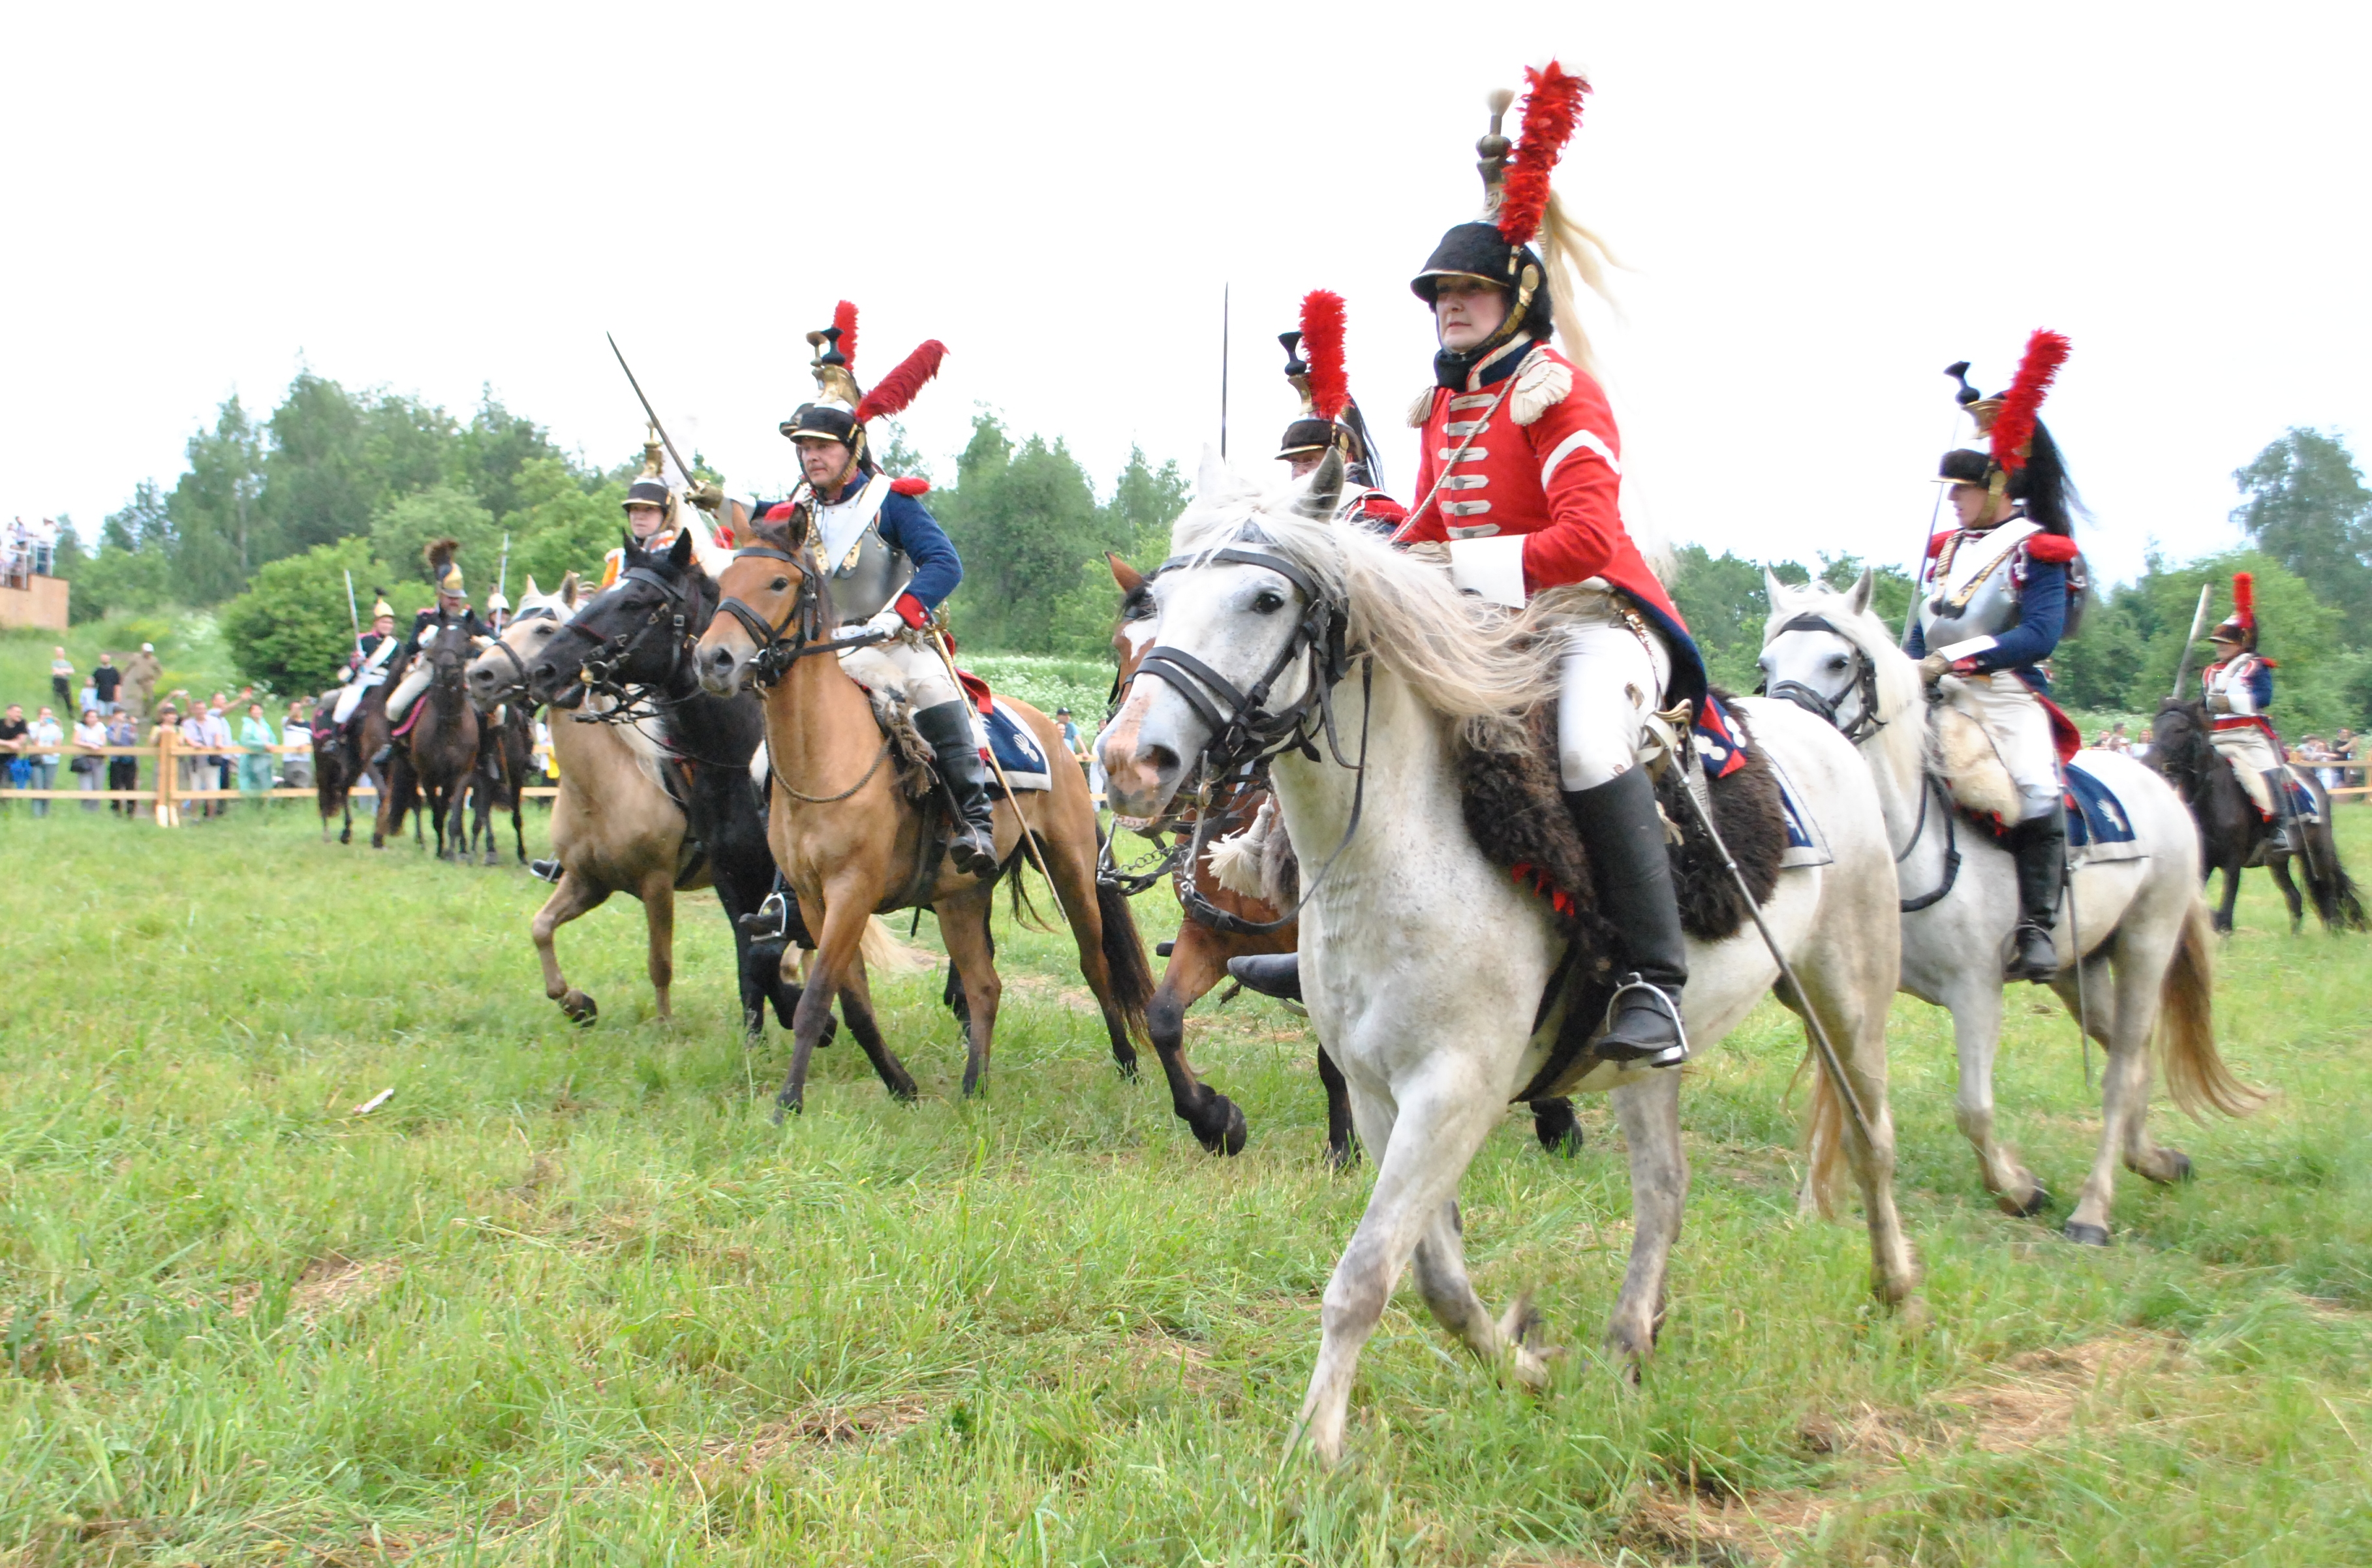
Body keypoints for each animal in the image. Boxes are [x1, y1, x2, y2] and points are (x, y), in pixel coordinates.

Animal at [692, 510, 1157, 1115]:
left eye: (778, 582)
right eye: (721, 583)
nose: (712, 660)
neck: (825, 755)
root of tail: (1051, 737)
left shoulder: (851, 893)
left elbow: (818, 996)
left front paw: (787, 1103)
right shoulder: (815, 901)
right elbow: (853, 1002)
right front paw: (901, 1085)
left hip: (1071, 868)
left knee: (1094, 964)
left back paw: (1127, 1064)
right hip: (961, 896)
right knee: (983, 985)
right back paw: (973, 1084)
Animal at [1100, 550, 1584, 1162]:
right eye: (1121, 644)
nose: (1133, 771)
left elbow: (1331, 1061)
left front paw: (1341, 1147)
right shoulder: (1209, 936)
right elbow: (1163, 1018)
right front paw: (1216, 1121)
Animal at [1764, 569, 2258, 1242]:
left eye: (1837, 660)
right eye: (1766, 663)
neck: (1905, 843)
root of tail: (2159, 788)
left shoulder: (1977, 992)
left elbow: (1972, 1109)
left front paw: (2018, 1189)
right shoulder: (1838, 991)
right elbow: (1842, 1094)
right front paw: (1813, 1207)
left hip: (2145, 943)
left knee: (2122, 1066)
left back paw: (2092, 1210)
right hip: (2080, 970)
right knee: (2129, 1055)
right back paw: (2153, 1158)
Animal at [2144, 702, 2362, 934]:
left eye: (2181, 729)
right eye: (2155, 727)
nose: (2149, 763)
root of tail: (2314, 781)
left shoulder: (2232, 864)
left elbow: (2224, 915)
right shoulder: (2204, 863)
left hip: (2318, 850)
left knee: (2328, 894)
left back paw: (2334, 933)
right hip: (2277, 861)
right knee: (2294, 897)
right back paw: (2296, 937)